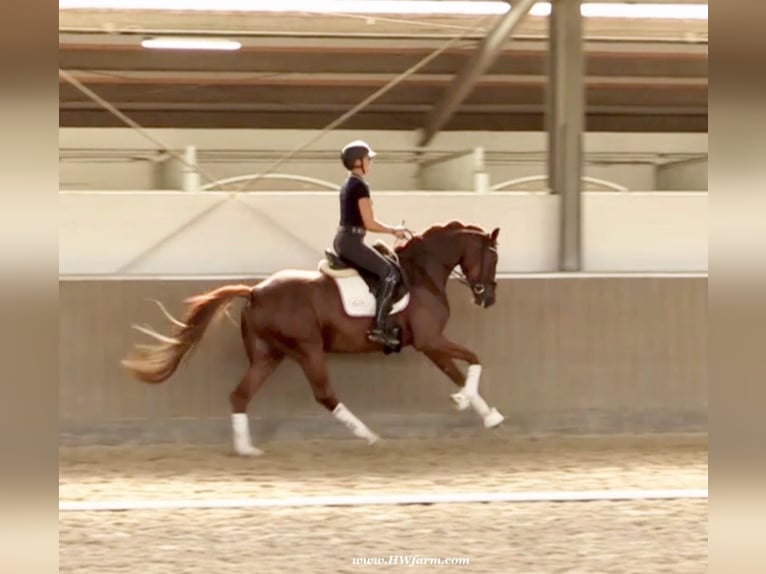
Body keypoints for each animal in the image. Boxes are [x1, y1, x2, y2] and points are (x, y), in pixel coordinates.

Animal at [121, 220, 504, 454]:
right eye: (492, 259)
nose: (488, 298)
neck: (423, 273)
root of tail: (254, 291)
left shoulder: (429, 343)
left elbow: (458, 370)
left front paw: (484, 413)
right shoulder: (429, 339)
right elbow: (475, 359)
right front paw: (467, 402)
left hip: (269, 355)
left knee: (240, 395)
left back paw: (247, 449)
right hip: (308, 349)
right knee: (324, 395)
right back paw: (368, 436)